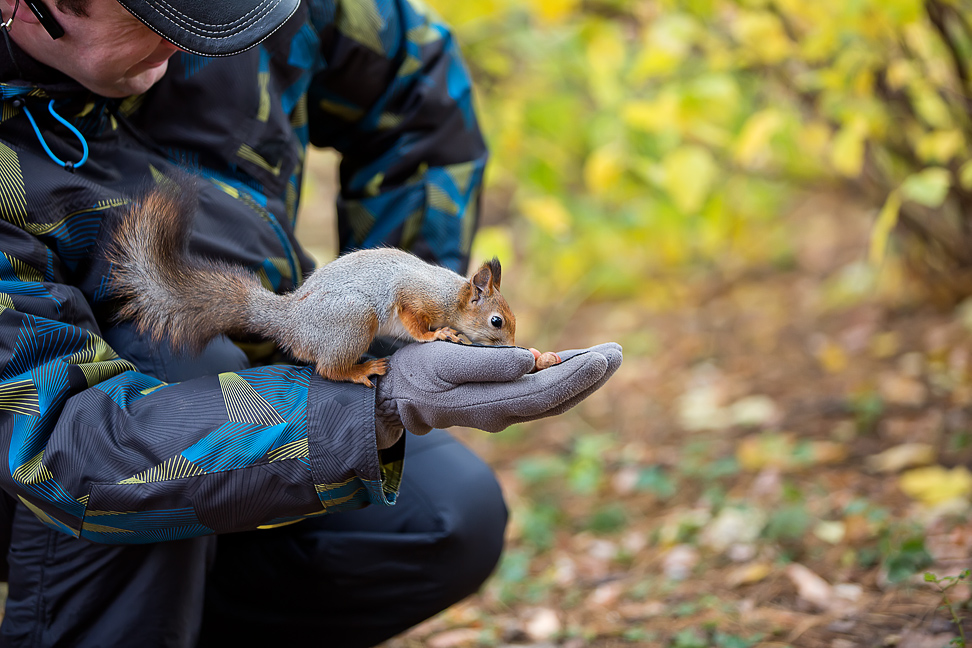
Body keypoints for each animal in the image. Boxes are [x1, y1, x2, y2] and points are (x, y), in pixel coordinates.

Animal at [105, 180, 516, 388]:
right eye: (496, 321)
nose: (514, 347)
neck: (452, 295)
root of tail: (290, 322)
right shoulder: (415, 295)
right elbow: (414, 322)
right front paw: (437, 335)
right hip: (353, 319)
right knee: (327, 369)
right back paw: (359, 370)